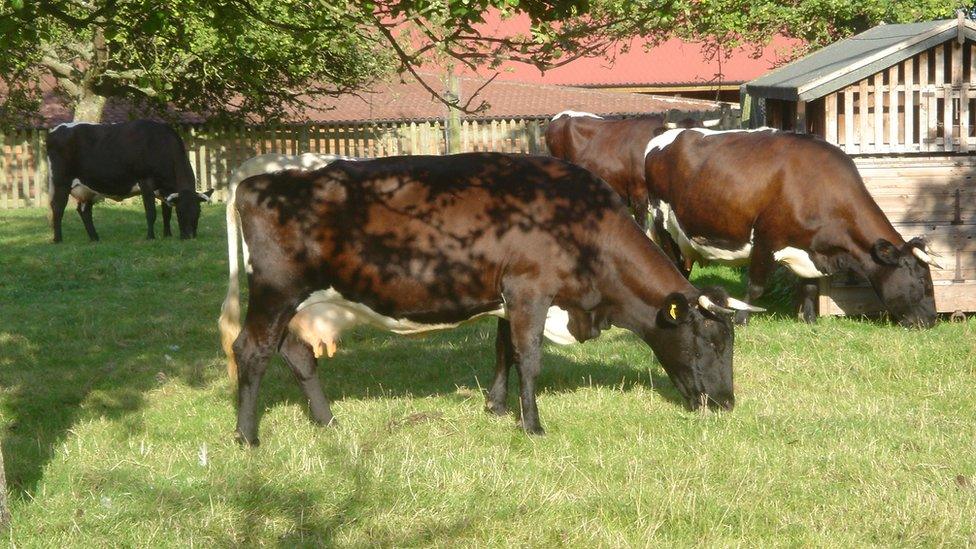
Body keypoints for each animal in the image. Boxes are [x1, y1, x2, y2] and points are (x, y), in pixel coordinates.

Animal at [46, 119, 212, 241]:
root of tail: (56, 129)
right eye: (181, 212)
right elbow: (151, 212)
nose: (190, 236)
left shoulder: (166, 189)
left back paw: (95, 238)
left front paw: (167, 235)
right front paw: (150, 237)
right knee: (58, 207)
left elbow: (166, 212)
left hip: (87, 188)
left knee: (84, 210)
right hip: (61, 181)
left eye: (198, 212)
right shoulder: (146, 181)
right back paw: (58, 239)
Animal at [217, 151, 760, 446]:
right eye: (712, 342)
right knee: (251, 350)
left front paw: (496, 407)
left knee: (296, 355)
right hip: (276, 292)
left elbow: (504, 350)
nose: (727, 403)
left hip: (298, 304)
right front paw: (533, 425)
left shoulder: (507, 296)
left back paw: (328, 422)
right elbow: (530, 356)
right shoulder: (530, 289)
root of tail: (254, 178)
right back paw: (247, 436)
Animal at [644, 127, 940, 326]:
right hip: (661, 219)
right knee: (672, 261)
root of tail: (663, 136)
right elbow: (756, 286)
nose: (932, 320)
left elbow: (809, 286)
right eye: (921, 280)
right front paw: (742, 319)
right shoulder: (766, 239)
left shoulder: (809, 248)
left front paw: (808, 320)